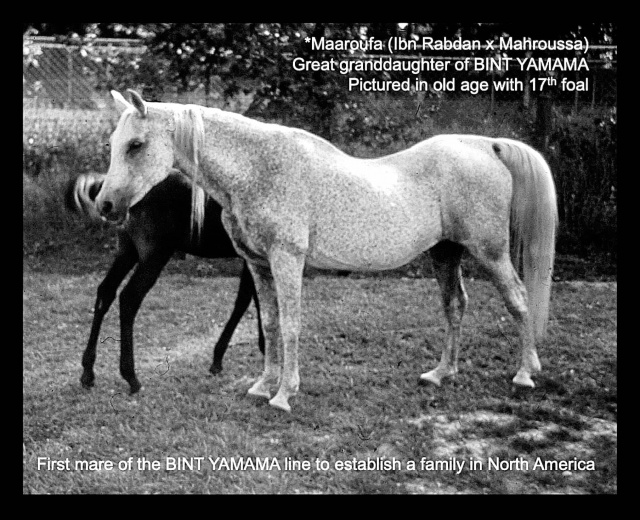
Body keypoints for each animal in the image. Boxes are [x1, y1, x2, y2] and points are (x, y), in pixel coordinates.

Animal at [66, 171, 264, 394]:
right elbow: (253, 301)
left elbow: (247, 300)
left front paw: (220, 358)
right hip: (154, 256)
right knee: (129, 298)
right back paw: (131, 376)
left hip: (128, 252)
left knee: (106, 292)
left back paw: (88, 372)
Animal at [95, 90, 556, 414]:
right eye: (116, 143)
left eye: (136, 145)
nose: (105, 205)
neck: (259, 168)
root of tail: (486, 145)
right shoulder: (259, 265)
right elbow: (270, 325)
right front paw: (262, 386)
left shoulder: (287, 260)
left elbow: (291, 325)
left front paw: (284, 395)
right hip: (446, 253)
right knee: (455, 305)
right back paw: (441, 373)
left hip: (489, 251)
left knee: (518, 300)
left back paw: (524, 373)